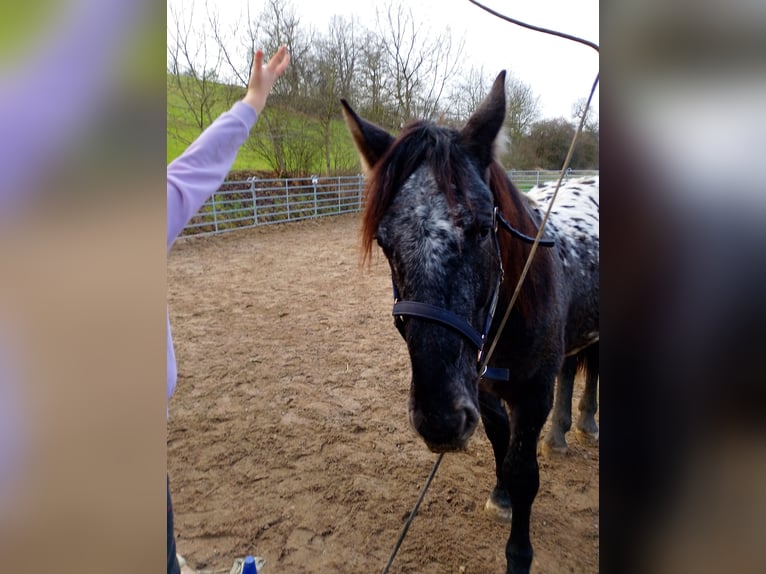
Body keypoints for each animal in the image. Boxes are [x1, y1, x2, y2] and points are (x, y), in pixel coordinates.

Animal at [342, 70, 600, 572]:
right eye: (384, 241)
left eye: (483, 228)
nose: (439, 420)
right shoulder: (481, 388)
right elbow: (500, 444)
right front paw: (500, 498)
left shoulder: (531, 395)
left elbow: (524, 472)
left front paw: (519, 554)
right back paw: (561, 434)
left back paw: (586, 423)